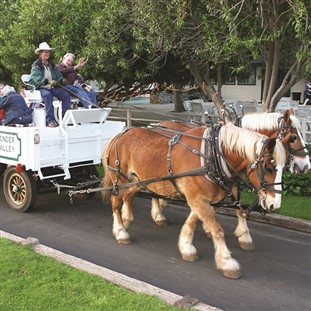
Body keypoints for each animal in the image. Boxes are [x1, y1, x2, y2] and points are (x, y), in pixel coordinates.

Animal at [103, 123, 290, 280]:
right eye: (268, 168)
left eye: (284, 167)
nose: (275, 205)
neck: (213, 155)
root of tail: (120, 134)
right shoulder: (197, 198)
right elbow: (217, 229)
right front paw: (227, 262)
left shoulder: (202, 198)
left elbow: (194, 221)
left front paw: (186, 246)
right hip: (120, 179)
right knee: (115, 202)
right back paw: (121, 231)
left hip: (140, 180)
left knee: (128, 196)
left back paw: (128, 219)